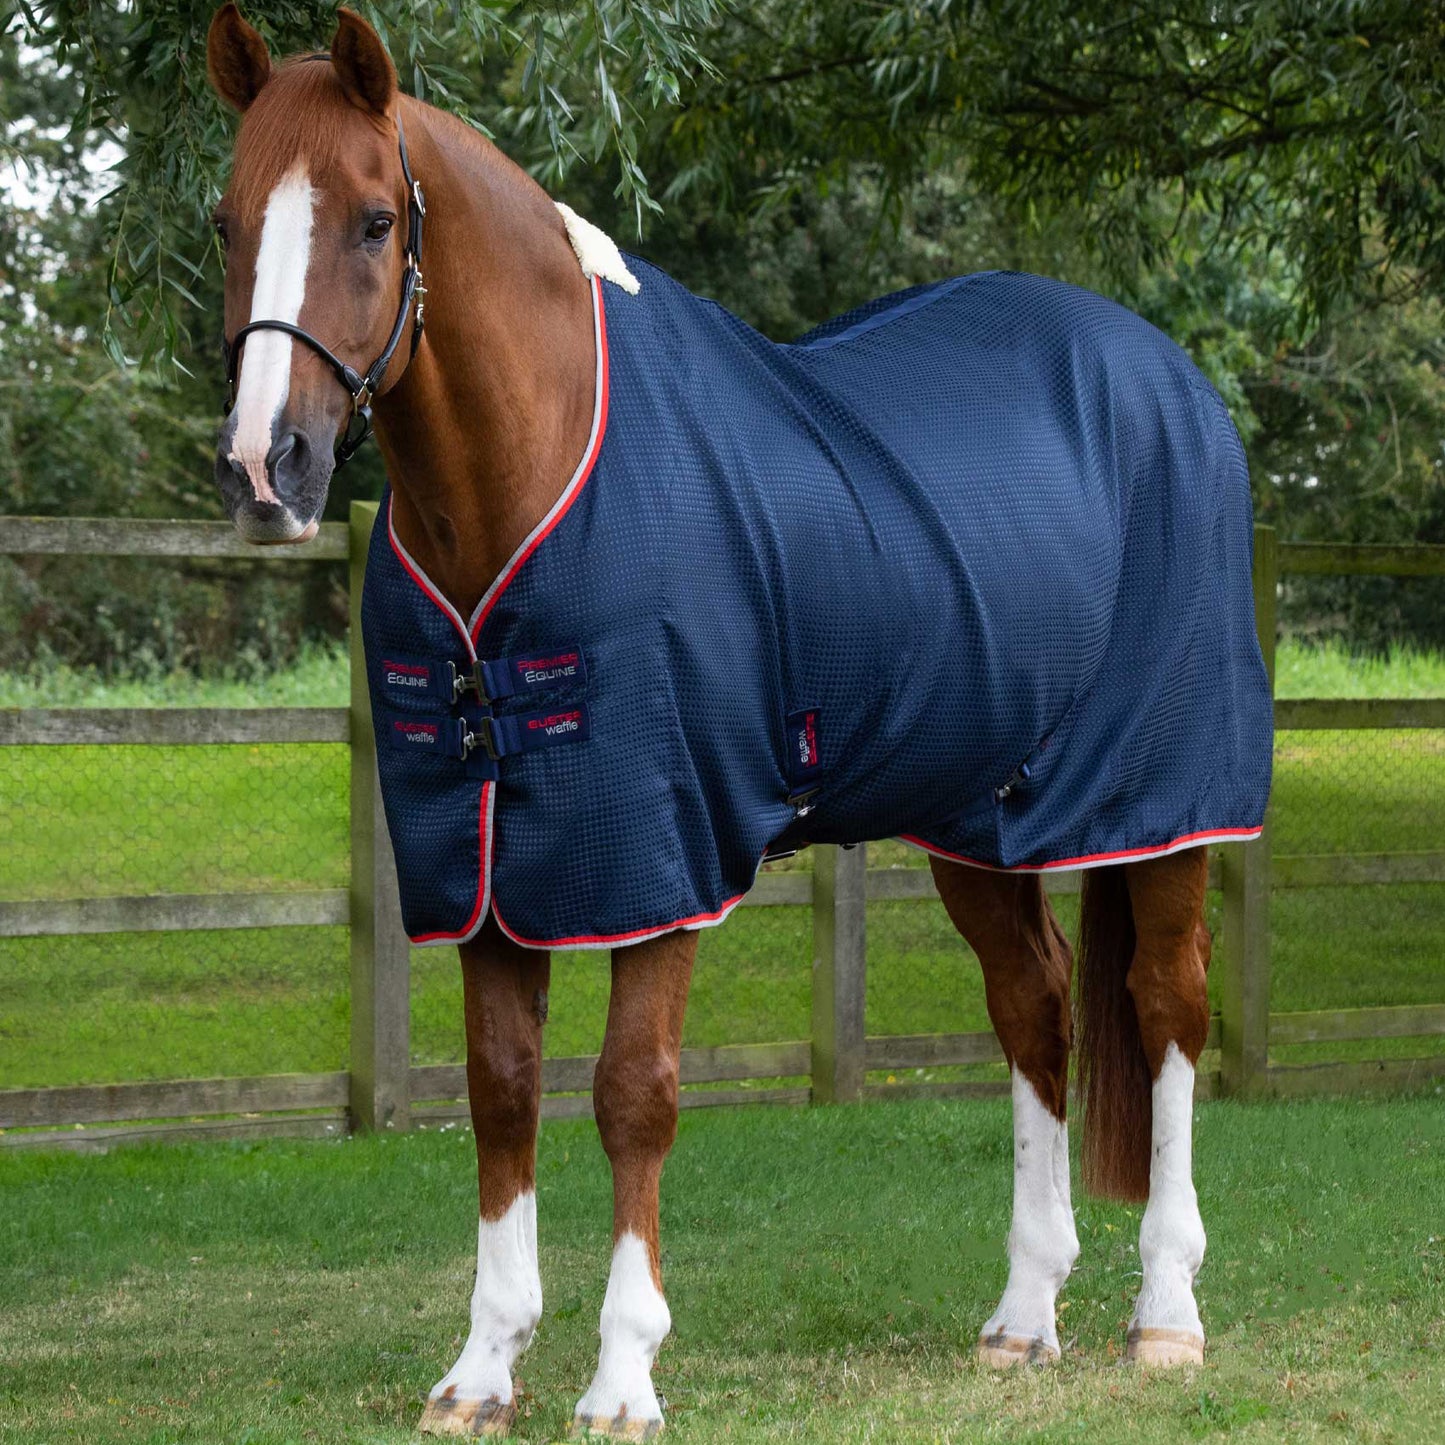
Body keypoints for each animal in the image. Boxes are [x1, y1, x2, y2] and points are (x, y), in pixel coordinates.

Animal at [205, 6, 1271, 1435]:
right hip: (977, 813)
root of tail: (1170, 382)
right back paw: (1023, 1315)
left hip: (1162, 803)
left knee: (1162, 1007)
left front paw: (620, 1372)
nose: (267, 469)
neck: (544, 451)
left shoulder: (657, 849)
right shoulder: (487, 860)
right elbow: (499, 1090)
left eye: (375, 221)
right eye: (227, 219)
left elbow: (631, 1094)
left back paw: (1163, 1313)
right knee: (1034, 1006)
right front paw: (482, 1366)